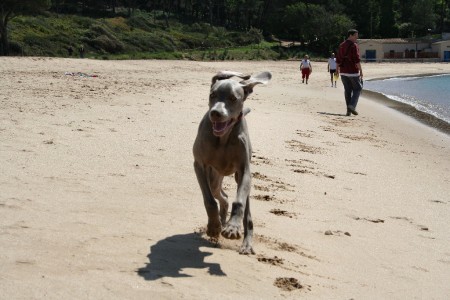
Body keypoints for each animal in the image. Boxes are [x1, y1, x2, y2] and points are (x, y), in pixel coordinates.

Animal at [192, 70, 270, 253]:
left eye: (233, 98)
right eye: (212, 95)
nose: (215, 113)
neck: (223, 138)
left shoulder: (244, 171)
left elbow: (239, 201)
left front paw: (232, 228)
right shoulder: (199, 165)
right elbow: (209, 200)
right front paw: (213, 227)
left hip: (239, 180)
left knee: (245, 211)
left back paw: (245, 242)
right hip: (214, 177)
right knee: (222, 196)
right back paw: (219, 223)